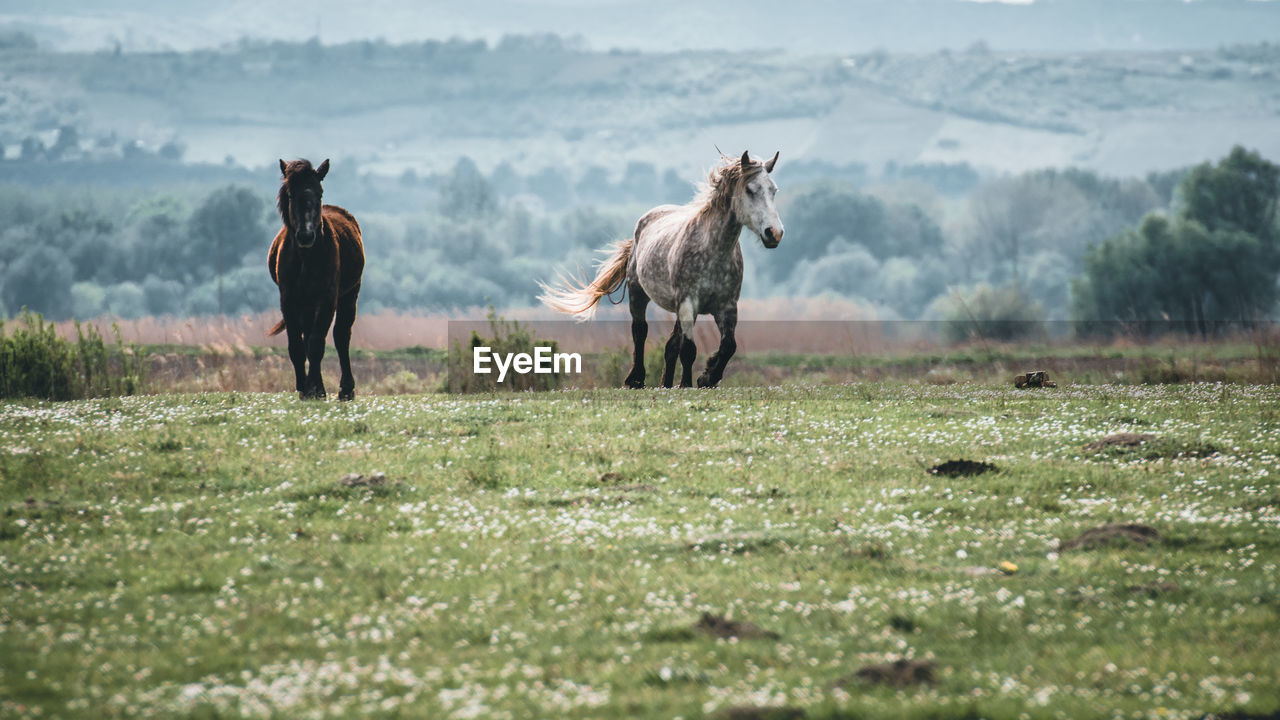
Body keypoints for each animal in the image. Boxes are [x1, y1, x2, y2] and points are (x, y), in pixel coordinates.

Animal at [266, 157, 363, 399]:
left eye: (319, 192)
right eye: (291, 194)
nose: (306, 235)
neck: (306, 259)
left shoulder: (327, 299)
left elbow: (317, 343)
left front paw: (313, 388)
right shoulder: (288, 301)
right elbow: (297, 346)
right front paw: (305, 387)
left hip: (349, 295)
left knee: (340, 336)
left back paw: (345, 389)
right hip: (307, 305)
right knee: (308, 337)